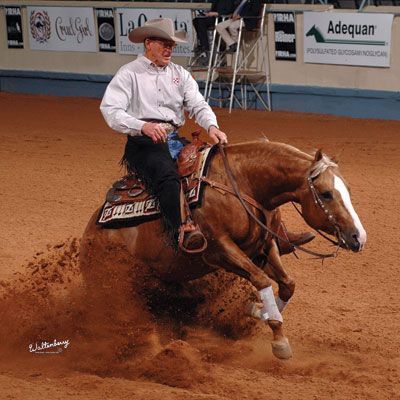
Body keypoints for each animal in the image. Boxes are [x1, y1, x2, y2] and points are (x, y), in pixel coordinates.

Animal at [79, 140, 367, 360]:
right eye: (326, 193)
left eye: (348, 190)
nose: (358, 237)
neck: (243, 184)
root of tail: (89, 234)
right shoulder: (219, 250)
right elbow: (262, 280)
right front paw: (278, 339)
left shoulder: (263, 247)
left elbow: (288, 284)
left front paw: (258, 311)